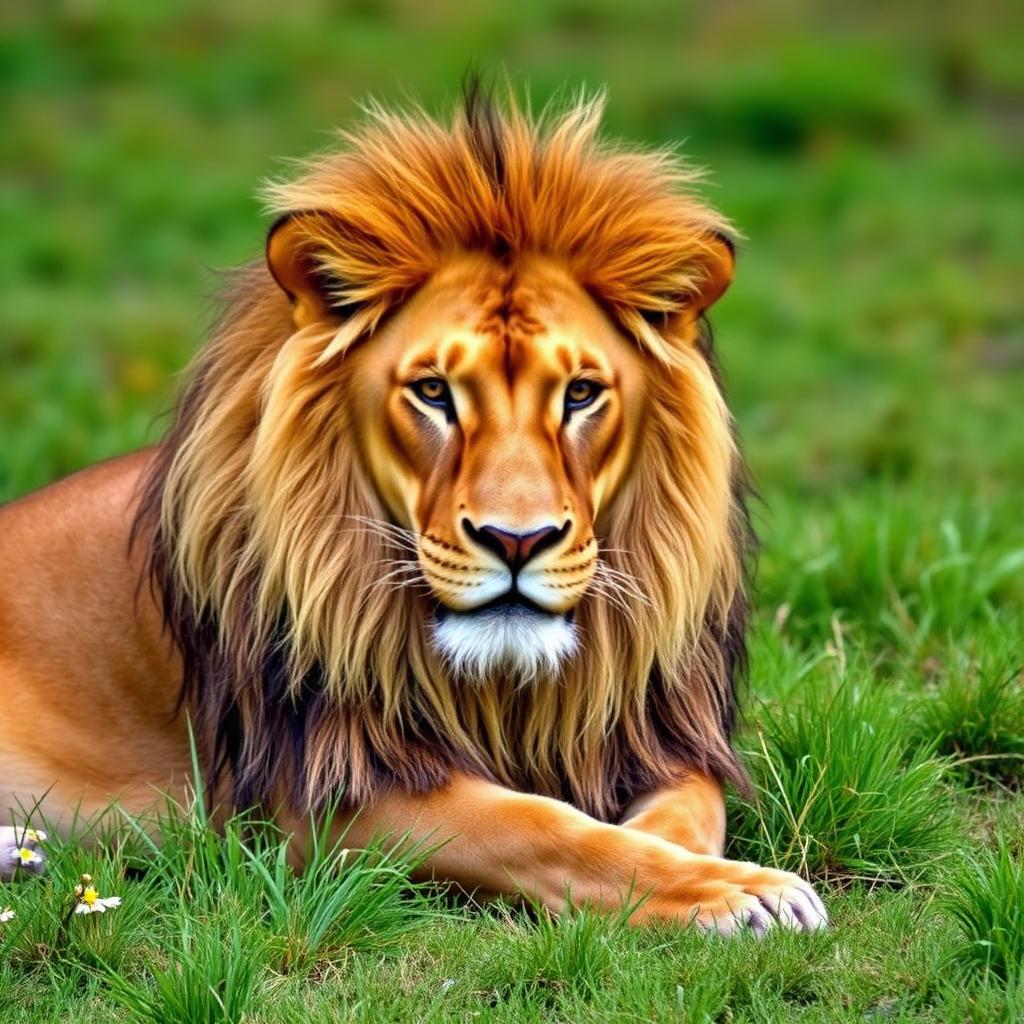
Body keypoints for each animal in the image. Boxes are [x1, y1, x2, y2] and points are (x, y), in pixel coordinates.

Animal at [0, 85, 825, 934]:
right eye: (434, 391)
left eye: (580, 393)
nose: (517, 540)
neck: (507, 691)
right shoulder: (327, 796)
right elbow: (543, 827)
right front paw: (740, 893)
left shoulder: (657, 736)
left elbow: (686, 814)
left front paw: (717, 878)